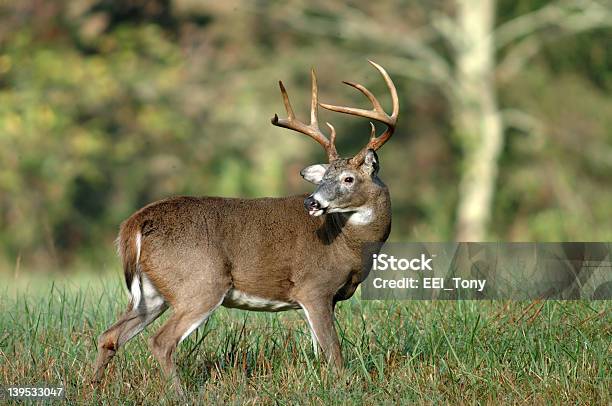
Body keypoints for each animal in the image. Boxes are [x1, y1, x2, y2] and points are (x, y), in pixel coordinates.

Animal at [91, 59, 396, 390]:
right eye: (324, 178)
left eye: (347, 178)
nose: (312, 202)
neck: (348, 245)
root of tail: (134, 224)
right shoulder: (313, 288)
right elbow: (334, 354)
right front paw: (343, 388)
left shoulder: (327, 298)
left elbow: (321, 352)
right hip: (200, 283)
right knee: (161, 342)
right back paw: (181, 395)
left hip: (152, 293)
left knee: (109, 336)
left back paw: (93, 387)